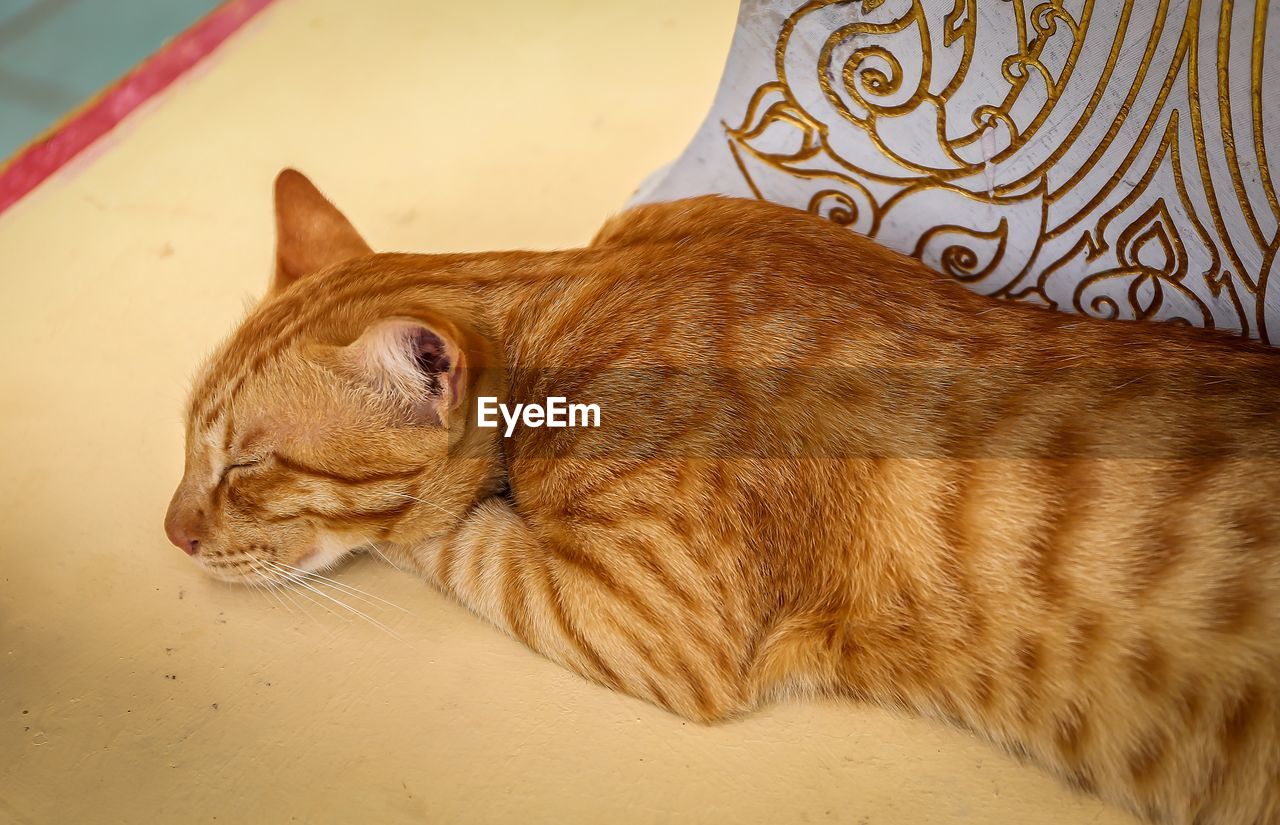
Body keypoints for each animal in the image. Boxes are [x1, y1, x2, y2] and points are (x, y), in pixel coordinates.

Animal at [170, 168, 1280, 823]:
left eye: (244, 467)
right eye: (187, 444)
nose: (172, 534)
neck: (580, 294)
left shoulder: (648, 621)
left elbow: (454, 531)